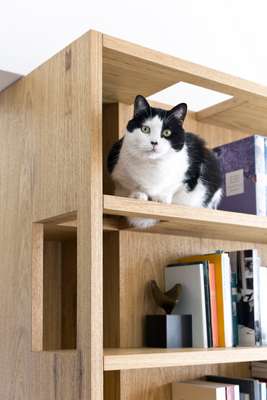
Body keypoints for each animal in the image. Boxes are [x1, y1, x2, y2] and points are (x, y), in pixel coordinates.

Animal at [108, 94, 223, 228]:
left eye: (167, 132)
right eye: (145, 129)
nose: (154, 142)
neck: (153, 166)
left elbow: (173, 186)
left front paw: (161, 198)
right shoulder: (118, 174)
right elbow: (130, 186)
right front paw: (138, 194)